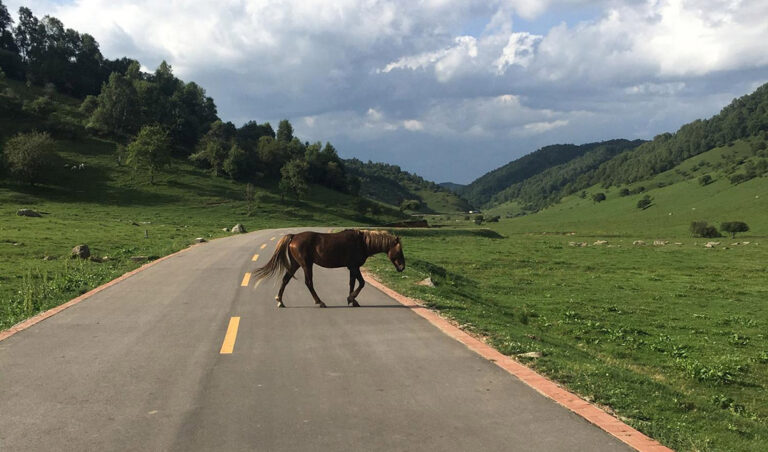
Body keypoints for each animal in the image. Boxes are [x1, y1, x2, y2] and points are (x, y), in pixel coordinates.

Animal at [252, 229, 405, 308]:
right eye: (399, 251)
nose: (402, 267)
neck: (362, 242)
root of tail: (294, 237)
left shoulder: (352, 268)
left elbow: (353, 283)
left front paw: (352, 300)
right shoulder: (354, 267)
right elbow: (360, 283)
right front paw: (351, 298)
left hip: (296, 264)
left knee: (285, 280)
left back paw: (280, 301)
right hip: (306, 264)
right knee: (309, 283)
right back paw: (319, 302)